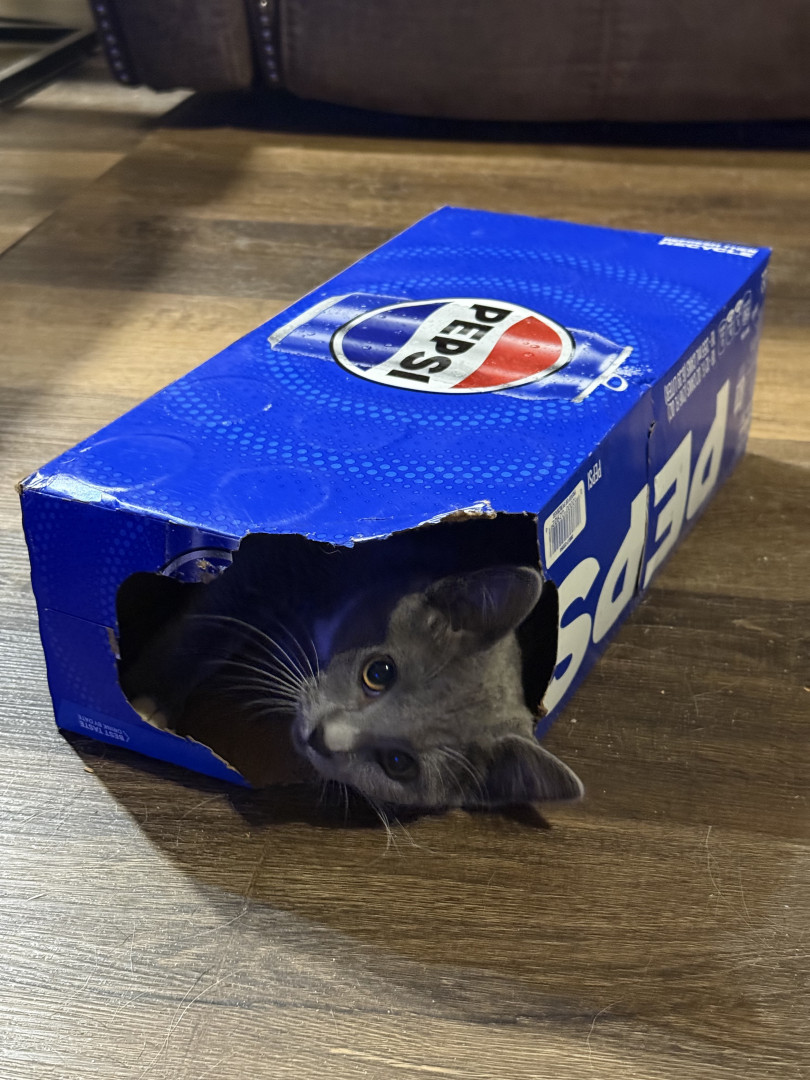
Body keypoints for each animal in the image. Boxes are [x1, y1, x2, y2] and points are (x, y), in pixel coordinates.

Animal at [116, 523, 583, 811]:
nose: (323, 739)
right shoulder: (274, 563)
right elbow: (211, 620)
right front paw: (149, 697)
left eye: (398, 763)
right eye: (379, 672)